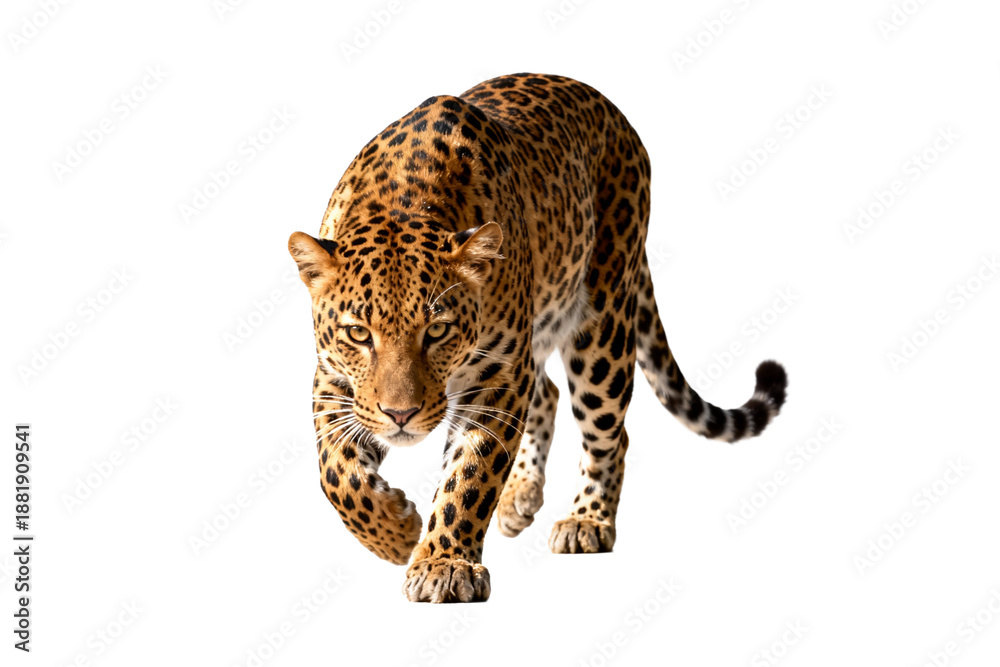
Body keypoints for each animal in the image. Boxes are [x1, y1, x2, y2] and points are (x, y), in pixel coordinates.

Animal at [288, 73, 788, 603]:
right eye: (359, 334)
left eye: (437, 330)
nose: (400, 415)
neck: (405, 201)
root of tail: (612, 111)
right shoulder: (334, 378)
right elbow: (335, 471)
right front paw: (395, 533)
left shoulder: (498, 376)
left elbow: (469, 475)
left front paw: (444, 563)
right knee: (546, 392)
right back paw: (519, 498)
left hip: (601, 328)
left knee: (609, 431)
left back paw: (586, 520)